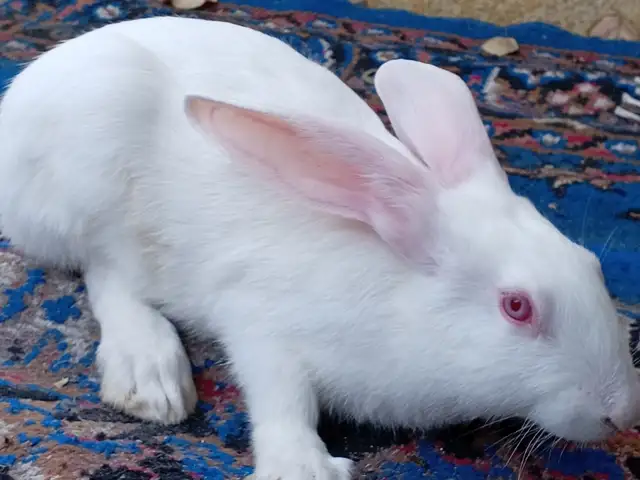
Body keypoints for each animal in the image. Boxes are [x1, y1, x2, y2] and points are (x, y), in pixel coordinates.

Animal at [1, 15, 639, 480]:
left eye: (594, 266)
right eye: (517, 307)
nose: (622, 413)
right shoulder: (262, 322)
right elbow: (279, 394)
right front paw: (303, 467)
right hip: (90, 183)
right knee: (106, 272)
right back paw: (149, 374)